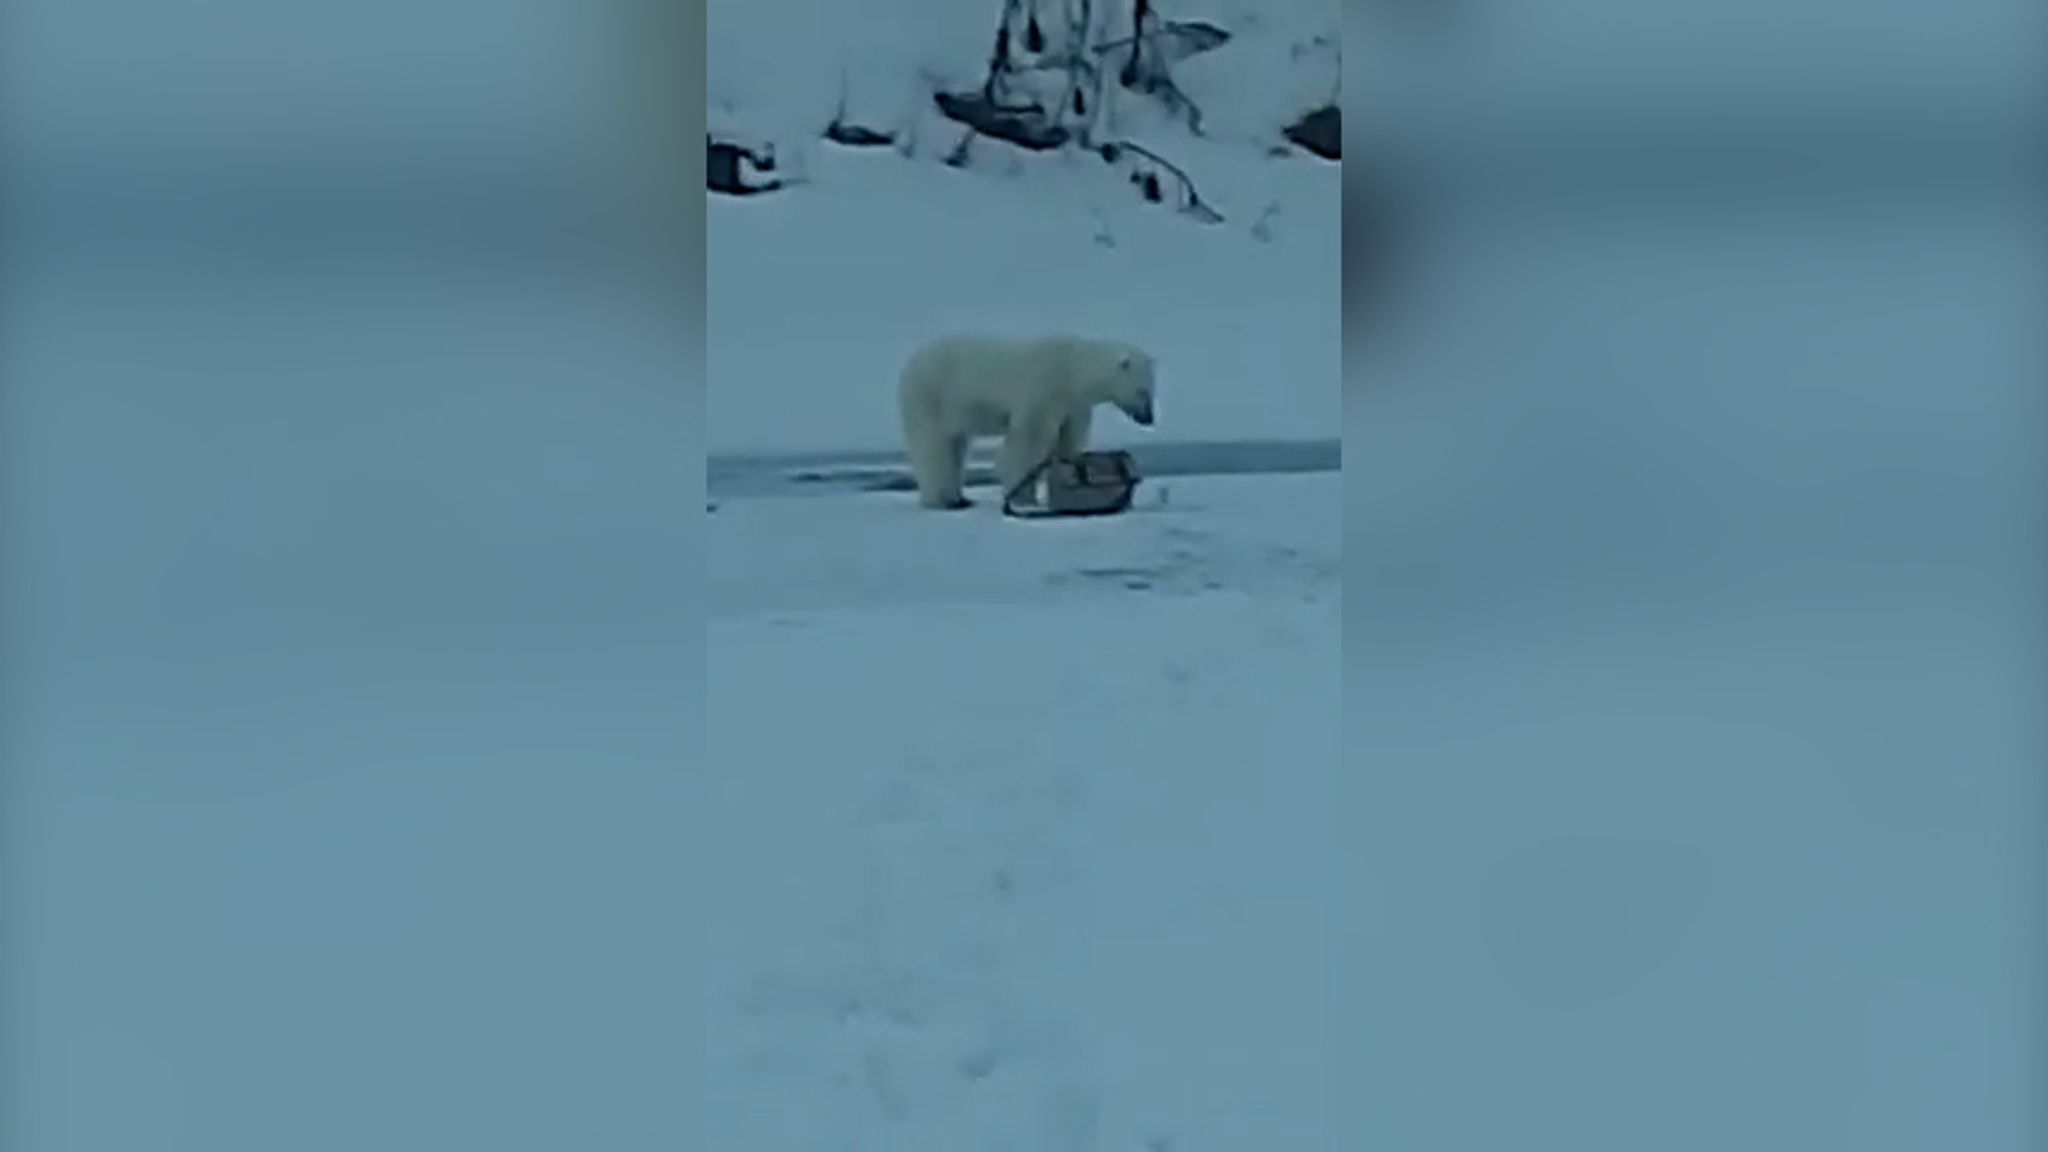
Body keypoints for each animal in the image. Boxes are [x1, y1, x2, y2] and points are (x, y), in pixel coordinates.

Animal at [896, 334, 1157, 510]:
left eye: (1152, 391)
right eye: (1142, 392)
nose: (1149, 418)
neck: (1073, 369)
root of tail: (910, 364)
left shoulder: (1074, 406)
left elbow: (1067, 441)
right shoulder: (1043, 392)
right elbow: (1026, 443)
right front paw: (1022, 496)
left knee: (954, 446)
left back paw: (959, 497)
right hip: (933, 398)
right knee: (934, 447)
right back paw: (942, 500)